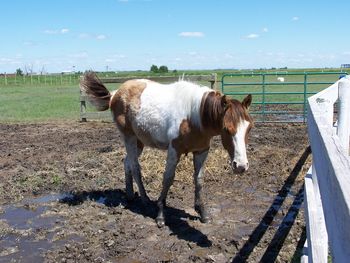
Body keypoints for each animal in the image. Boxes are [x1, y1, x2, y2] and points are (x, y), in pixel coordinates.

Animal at [80, 72, 253, 229]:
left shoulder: (202, 151)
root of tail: (115, 94)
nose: (241, 166)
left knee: (127, 163)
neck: (194, 116)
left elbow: (199, 180)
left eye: (249, 127)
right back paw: (145, 201)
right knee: (135, 167)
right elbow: (168, 179)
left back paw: (129, 196)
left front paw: (203, 213)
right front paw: (161, 216)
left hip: (139, 142)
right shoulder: (174, 150)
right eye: (226, 129)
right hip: (128, 137)